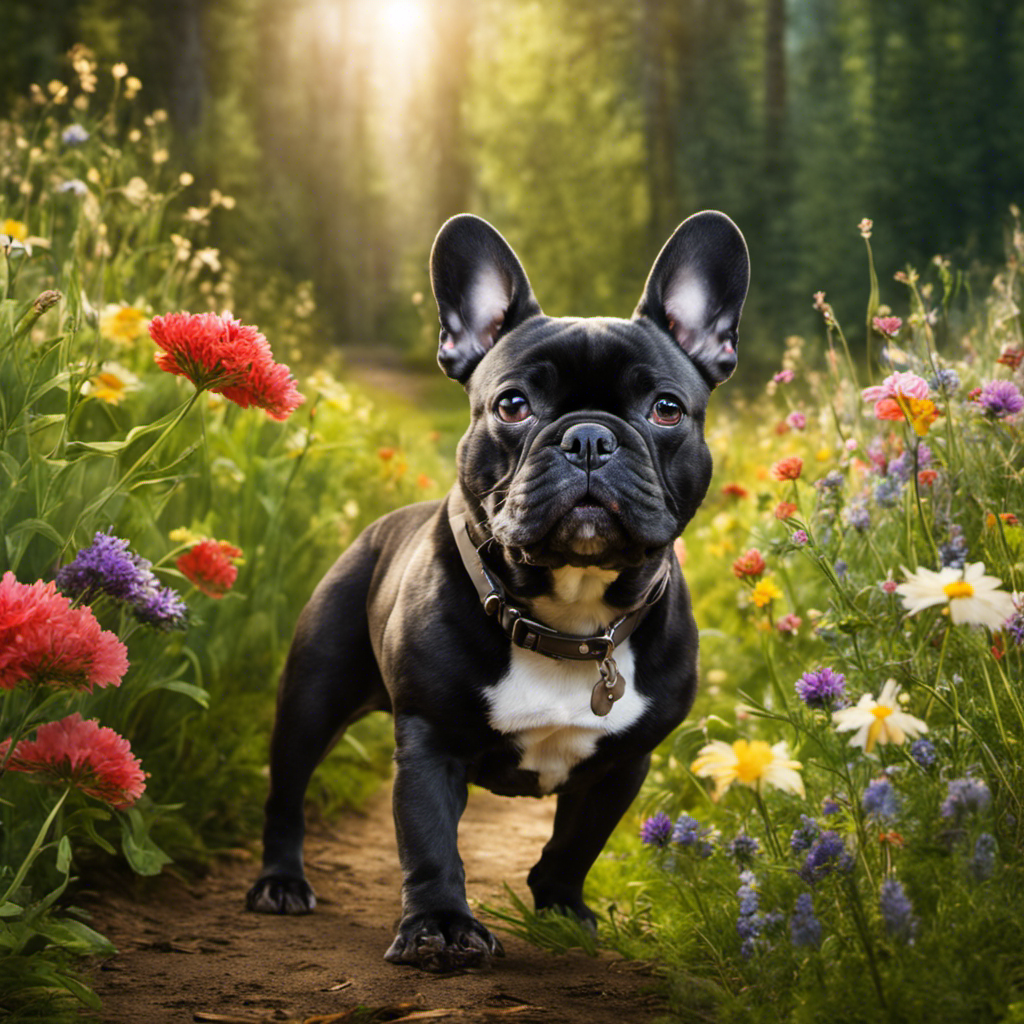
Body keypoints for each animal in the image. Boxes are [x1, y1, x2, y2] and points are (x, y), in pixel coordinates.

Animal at [243, 211, 749, 970]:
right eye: (512, 405)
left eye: (665, 409)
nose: (589, 437)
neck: (569, 615)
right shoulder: (430, 743)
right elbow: (429, 843)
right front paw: (441, 926)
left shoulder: (624, 763)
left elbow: (577, 842)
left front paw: (561, 907)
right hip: (312, 695)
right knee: (287, 789)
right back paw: (279, 881)